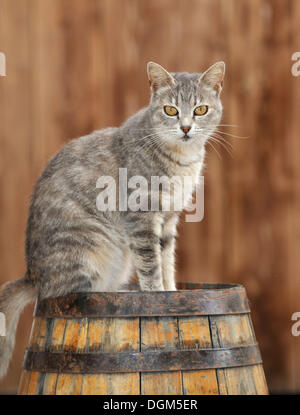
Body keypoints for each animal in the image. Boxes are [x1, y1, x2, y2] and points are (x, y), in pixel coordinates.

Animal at [0, 60, 225, 378]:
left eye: (201, 109)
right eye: (170, 110)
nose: (185, 127)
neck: (180, 161)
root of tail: (33, 277)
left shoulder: (168, 219)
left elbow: (167, 262)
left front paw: (172, 295)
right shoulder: (141, 217)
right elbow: (151, 266)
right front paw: (157, 298)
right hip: (89, 252)